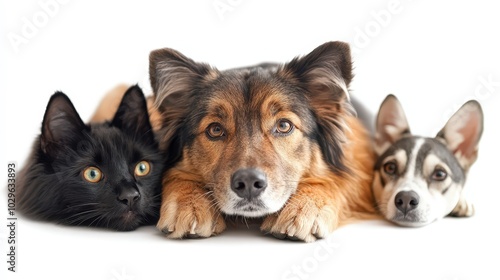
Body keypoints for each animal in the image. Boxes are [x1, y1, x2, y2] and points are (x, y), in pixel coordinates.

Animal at [150, 41, 376, 241]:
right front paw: (188, 204)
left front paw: (304, 207)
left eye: (284, 126)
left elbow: (339, 181)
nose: (249, 183)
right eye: (215, 130)